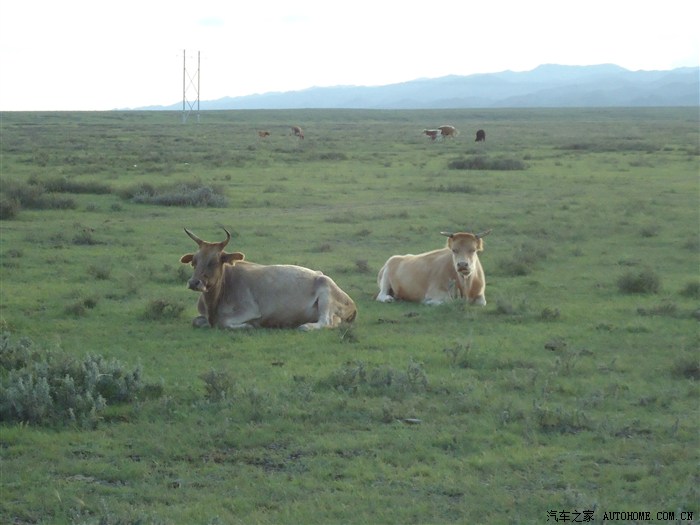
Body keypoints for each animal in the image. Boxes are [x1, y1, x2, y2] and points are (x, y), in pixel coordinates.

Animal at [180, 228, 356, 330]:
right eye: (194, 262)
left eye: (213, 262)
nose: (194, 282)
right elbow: (196, 321)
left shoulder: (250, 309)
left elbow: (224, 322)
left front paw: (249, 326)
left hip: (325, 290)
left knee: (325, 322)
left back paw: (305, 326)